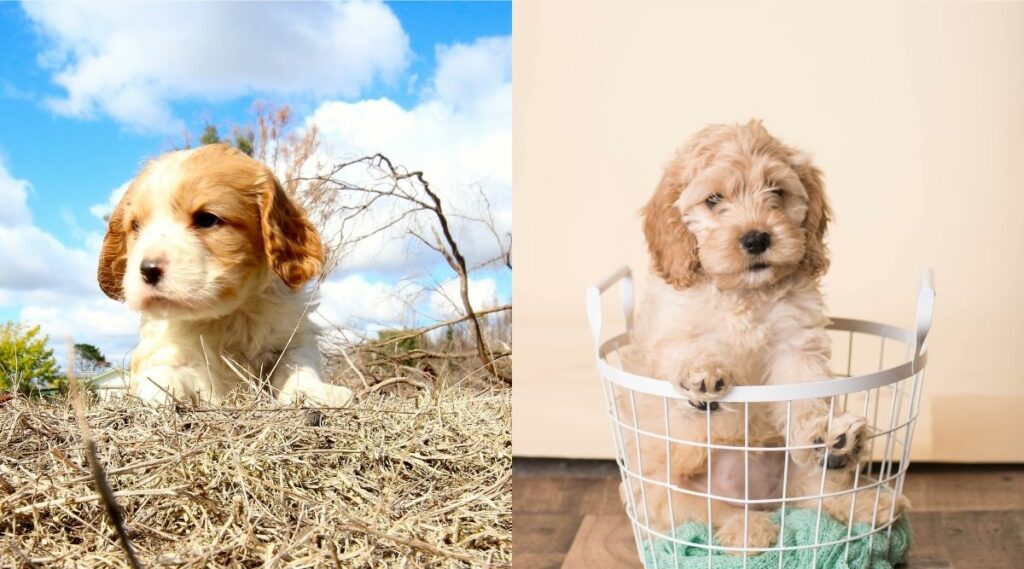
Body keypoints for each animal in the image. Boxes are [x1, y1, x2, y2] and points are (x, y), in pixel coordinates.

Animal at [97, 144, 352, 407]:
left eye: (207, 219)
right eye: (136, 226)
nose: (148, 269)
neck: (223, 318)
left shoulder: (293, 334)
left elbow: (296, 364)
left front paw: (316, 391)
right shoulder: (167, 350)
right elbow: (162, 374)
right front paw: (153, 396)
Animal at [614, 120, 905, 552]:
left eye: (777, 191)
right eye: (713, 199)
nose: (756, 239)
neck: (743, 293)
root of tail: (762, 499)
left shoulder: (795, 344)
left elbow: (804, 393)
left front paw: (818, 428)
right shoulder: (672, 333)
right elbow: (688, 353)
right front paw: (703, 376)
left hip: (797, 483)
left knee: (819, 494)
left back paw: (856, 480)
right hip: (664, 494)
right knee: (708, 517)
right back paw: (749, 531)